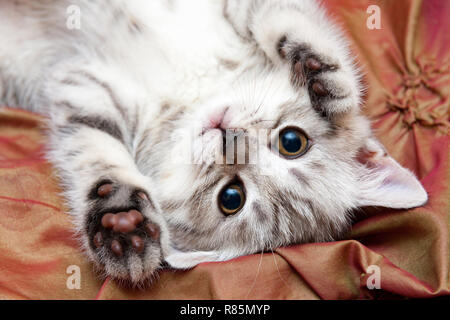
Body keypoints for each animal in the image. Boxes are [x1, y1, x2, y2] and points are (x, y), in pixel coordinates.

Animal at [0, 0, 428, 284]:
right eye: (293, 141)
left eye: (231, 197)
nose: (229, 137)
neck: (193, 88)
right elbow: (282, 18)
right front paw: (324, 73)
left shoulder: (88, 94)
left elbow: (94, 153)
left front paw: (122, 224)